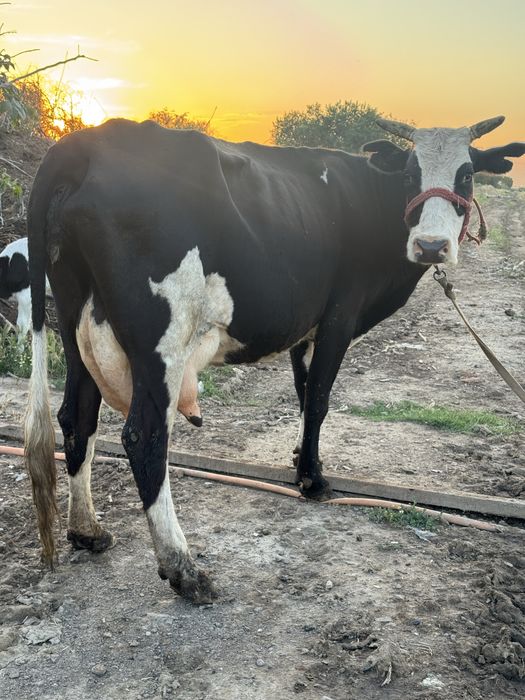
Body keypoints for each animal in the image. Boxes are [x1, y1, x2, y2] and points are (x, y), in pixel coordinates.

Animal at [24, 115, 524, 603]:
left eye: (467, 174)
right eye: (409, 173)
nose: (431, 246)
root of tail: (88, 141)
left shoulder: (308, 327)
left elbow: (304, 395)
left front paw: (304, 460)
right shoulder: (340, 315)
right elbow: (319, 399)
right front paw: (313, 481)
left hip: (75, 320)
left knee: (77, 416)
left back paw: (87, 531)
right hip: (160, 338)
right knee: (144, 436)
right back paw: (184, 569)